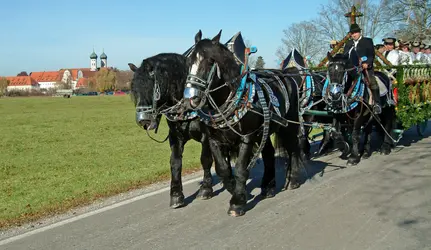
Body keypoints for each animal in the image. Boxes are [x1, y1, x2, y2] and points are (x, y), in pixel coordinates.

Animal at [128, 53, 216, 208]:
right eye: (134, 90)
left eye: (149, 88)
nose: (143, 120)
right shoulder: (176, 137)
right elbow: (175, 163)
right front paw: (176, 195)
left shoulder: (206, 136)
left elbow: (205, 159)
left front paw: (206, 188)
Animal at [181, 30, 304, 216]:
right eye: (189, 62)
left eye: (210, 62)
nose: (191, 99)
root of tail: (288, 74)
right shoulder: (213, 140)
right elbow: (223, 169)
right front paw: (236, 189)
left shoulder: (247, 137)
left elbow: (240, 168)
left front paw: (237, 202)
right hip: (264, 131)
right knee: (269, 153)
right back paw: (268, 187)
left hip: (289, 125)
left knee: (293, 147)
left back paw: (294, 179)